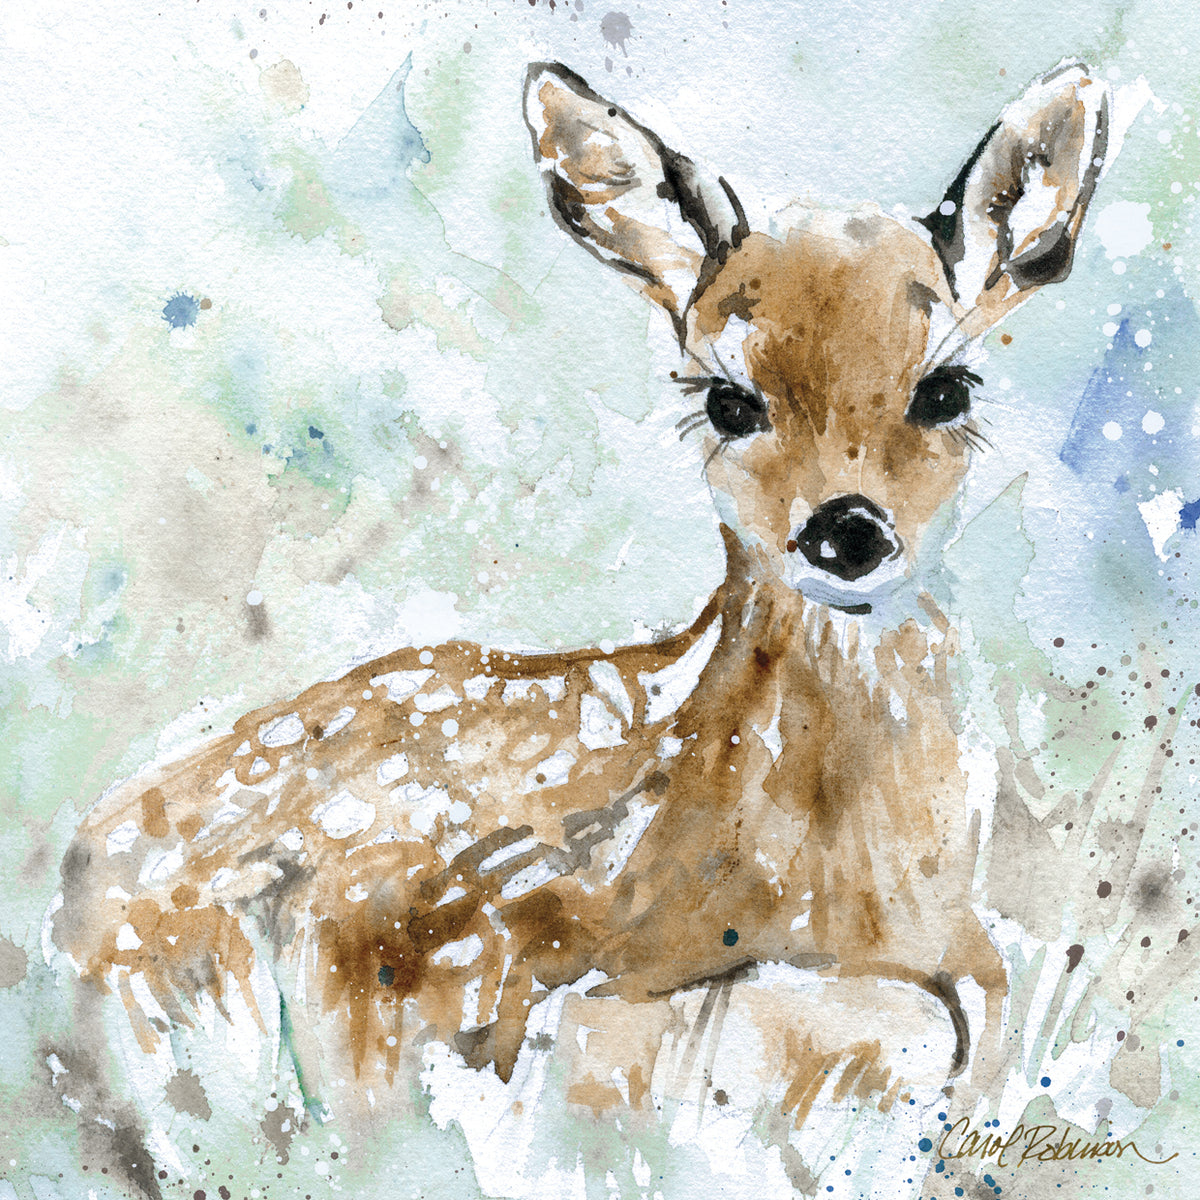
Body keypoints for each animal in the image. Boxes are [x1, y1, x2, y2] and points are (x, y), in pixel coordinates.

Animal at [47, 59, 1111, 1197]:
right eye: (729, 402)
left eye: (946, 387)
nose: (847, 529)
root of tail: (78, 868)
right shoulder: (502, 979)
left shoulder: (970, 979)